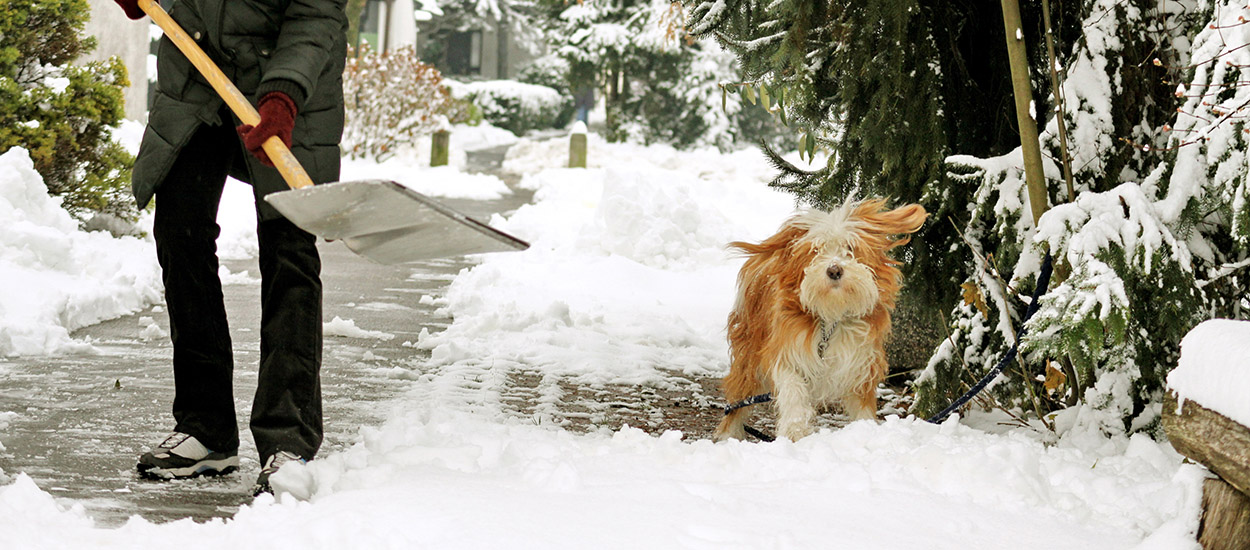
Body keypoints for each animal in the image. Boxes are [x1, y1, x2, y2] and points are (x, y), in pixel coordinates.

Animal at [715, 200, 930, 440]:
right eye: (816, 250)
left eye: (850, 248)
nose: (834, 270)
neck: (832, 318)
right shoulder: (787, 350)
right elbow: (793, 391)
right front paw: (795, 431)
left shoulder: (861, 361)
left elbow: (862, 405)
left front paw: (865, 431)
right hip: (749, 355)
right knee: (737, 401)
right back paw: (728, 436)